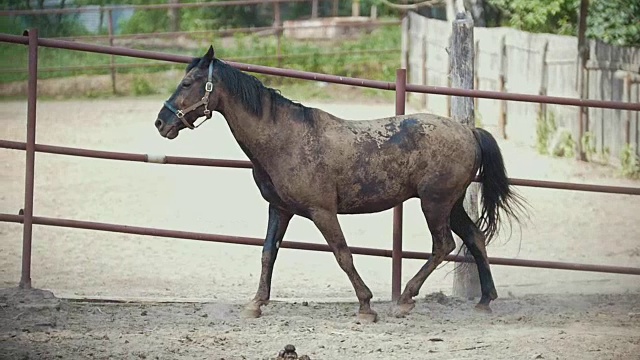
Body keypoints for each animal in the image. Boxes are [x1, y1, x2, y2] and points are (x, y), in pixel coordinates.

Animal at [154, 45, 524, 324]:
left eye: (188, 82)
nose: (161, 122)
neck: (284, 139)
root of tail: (470, 131)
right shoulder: (280, 209)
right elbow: (268, 254)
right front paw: (255, 304)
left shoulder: (322, 212)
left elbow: (342, 254)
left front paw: (366, 307)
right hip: (451, 203)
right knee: (474, 237)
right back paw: (484, 301)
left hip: (434, 204)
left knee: (443, 245)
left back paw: (405, 298)